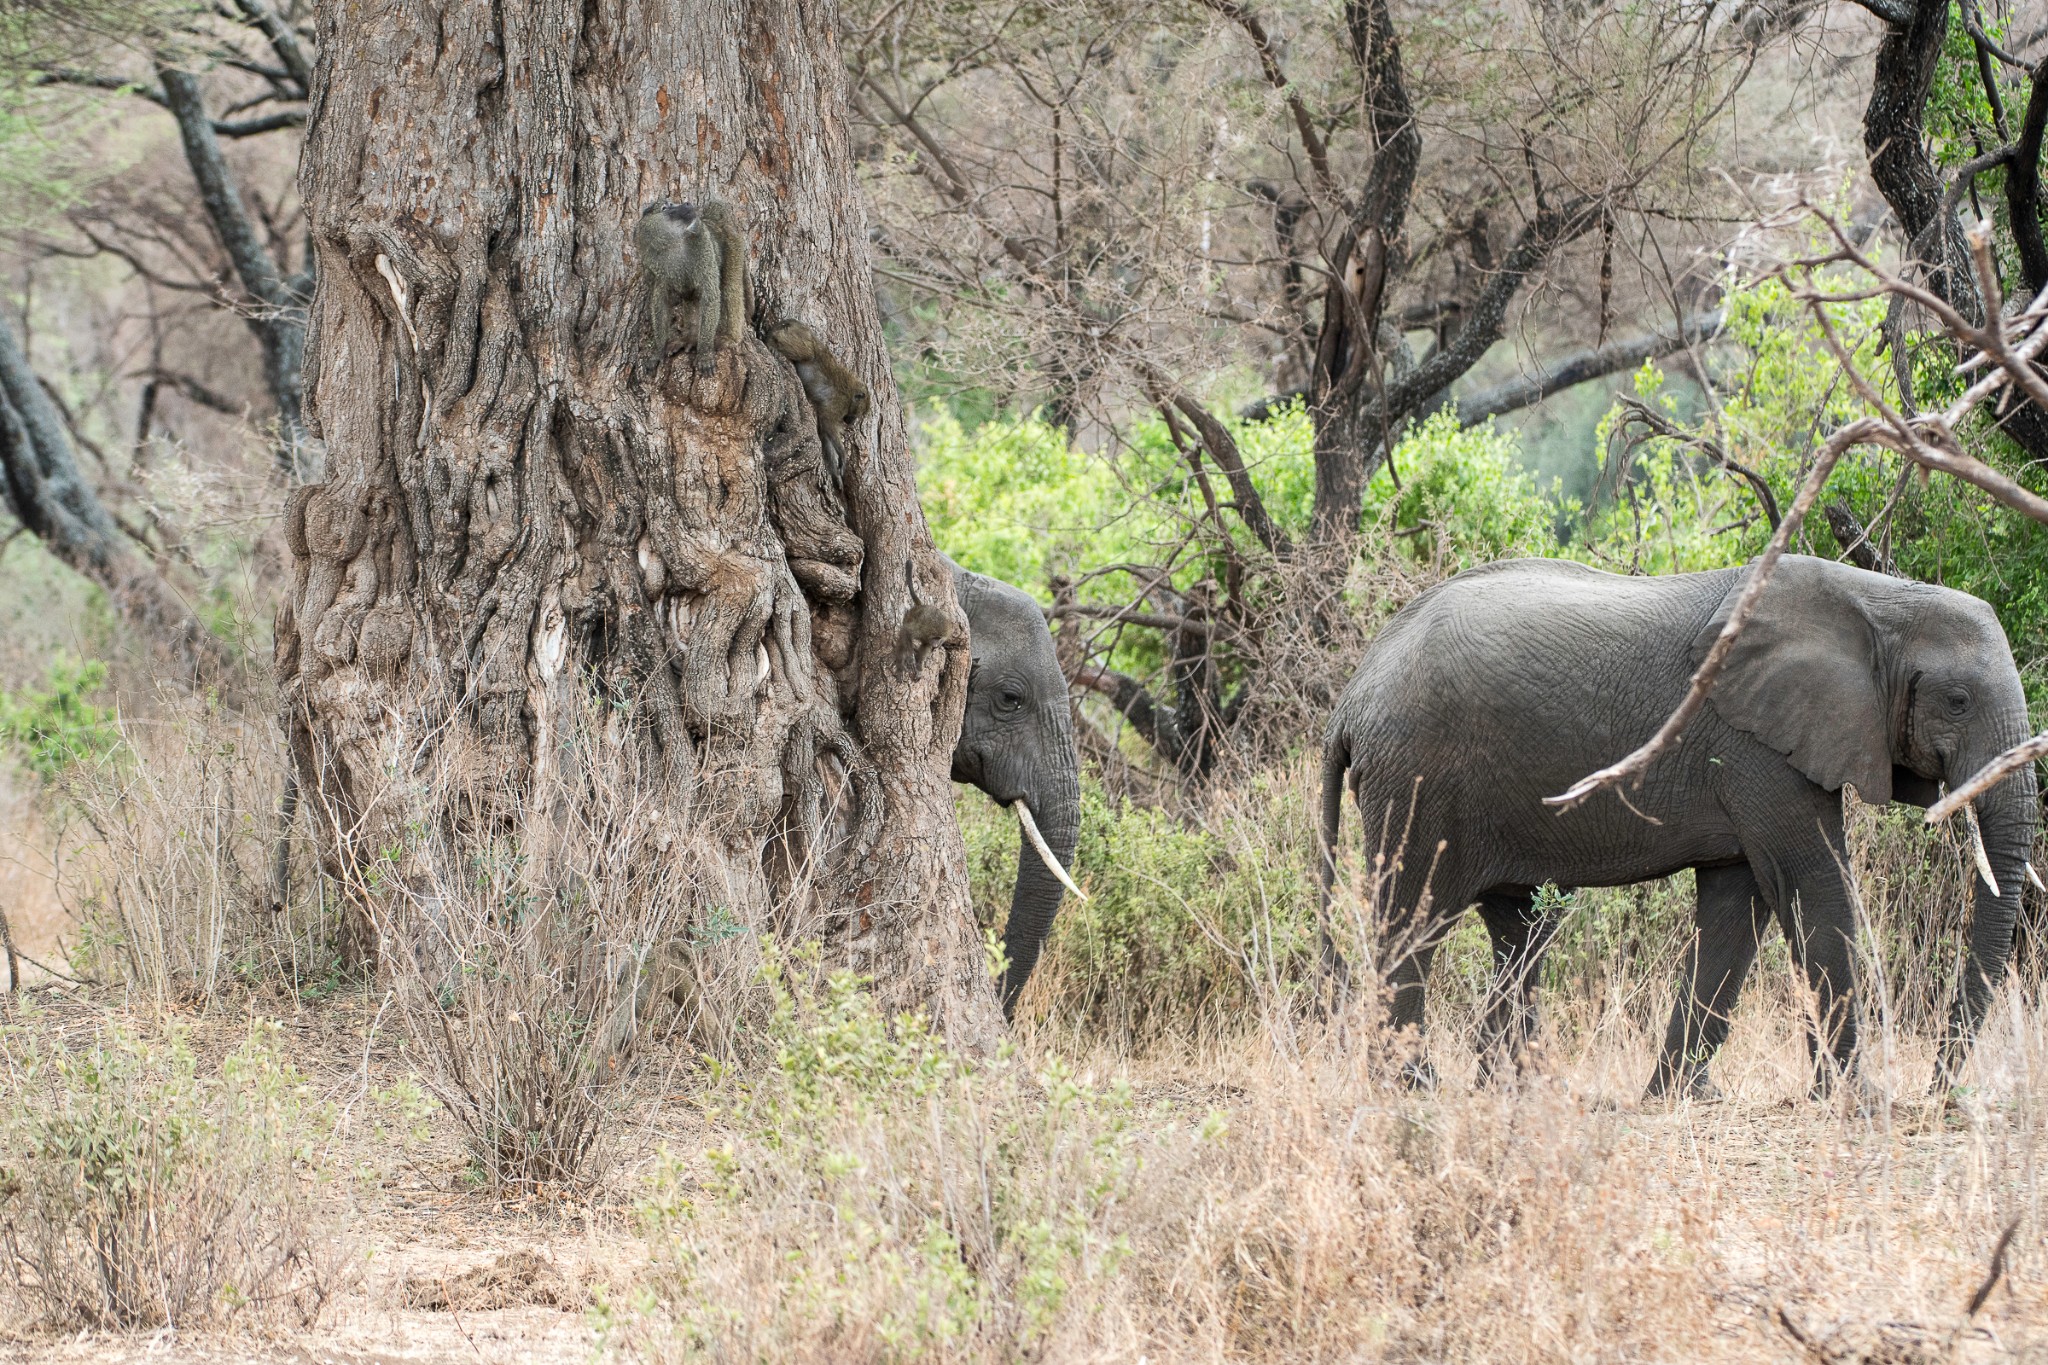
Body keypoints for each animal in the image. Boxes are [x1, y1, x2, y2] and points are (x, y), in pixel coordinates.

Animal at [1318, 556, 2039, 1096]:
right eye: (1959, 701)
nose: (1939, 1091)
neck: (1879, 600)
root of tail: (1351, 697)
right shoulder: (1758, 746)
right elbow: (1812, 883)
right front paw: (1860, 1102)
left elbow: (1735, 907)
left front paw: (1683, 1096)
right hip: (1419, 783)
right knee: (1414, 919)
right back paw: (1414, 1087)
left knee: (1520, 926)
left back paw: (1518, 1089)